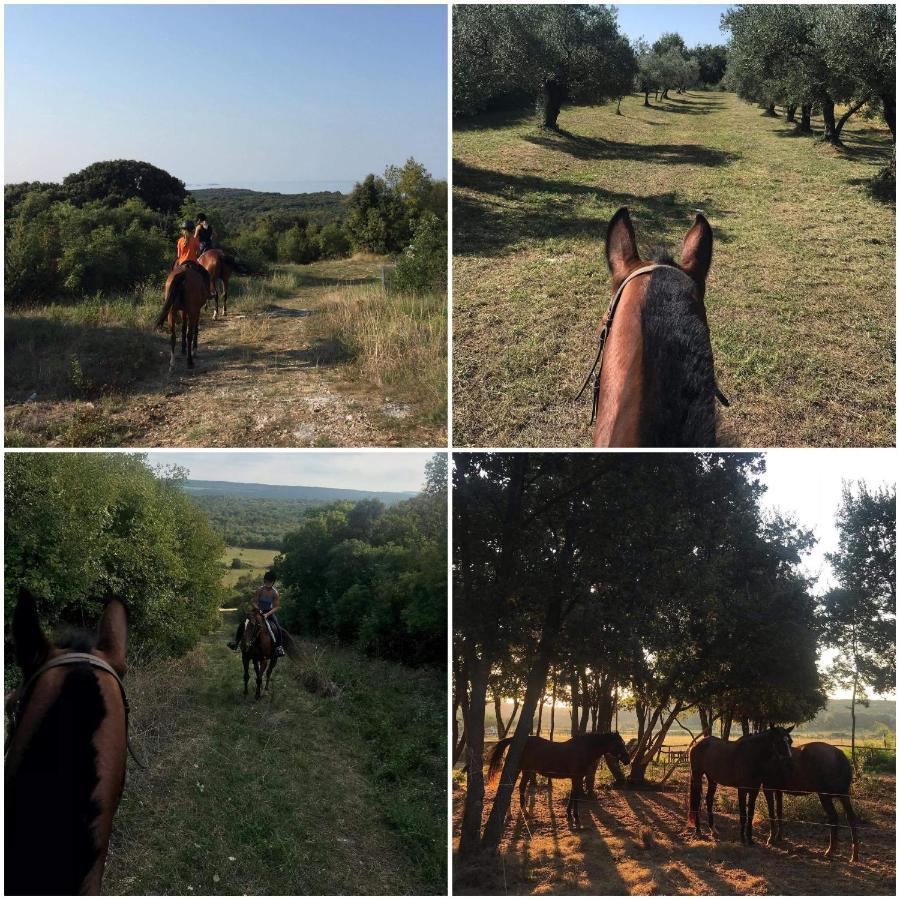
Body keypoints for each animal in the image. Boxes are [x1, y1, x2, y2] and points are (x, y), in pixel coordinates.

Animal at [488, 728, 628, 828]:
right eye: (619, 744)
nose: (627, 760)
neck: (582, 750)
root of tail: (514, 741)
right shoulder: (576, 777)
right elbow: (576, 795)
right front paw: (576, 817)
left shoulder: (576, 777)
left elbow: (573, 793)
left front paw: (569, 815)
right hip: (520, 770)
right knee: (513, 787)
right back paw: (517, 813)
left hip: (526, 771)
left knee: (518, 787)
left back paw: (518, 813)